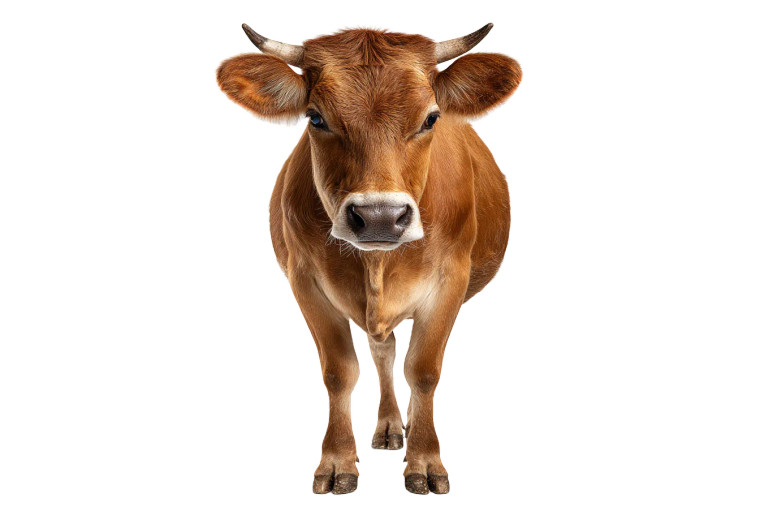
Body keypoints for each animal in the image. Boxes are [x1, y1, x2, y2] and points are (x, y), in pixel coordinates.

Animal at [217, 23, 521, 495]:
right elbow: (340, 372)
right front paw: (338, 460)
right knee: (384, 351)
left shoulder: (451, 279)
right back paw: (391, 426)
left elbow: (424, 370)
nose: (379, 217)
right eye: (315, 117)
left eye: (431, 118)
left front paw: (425, 460)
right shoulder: (304, 280)